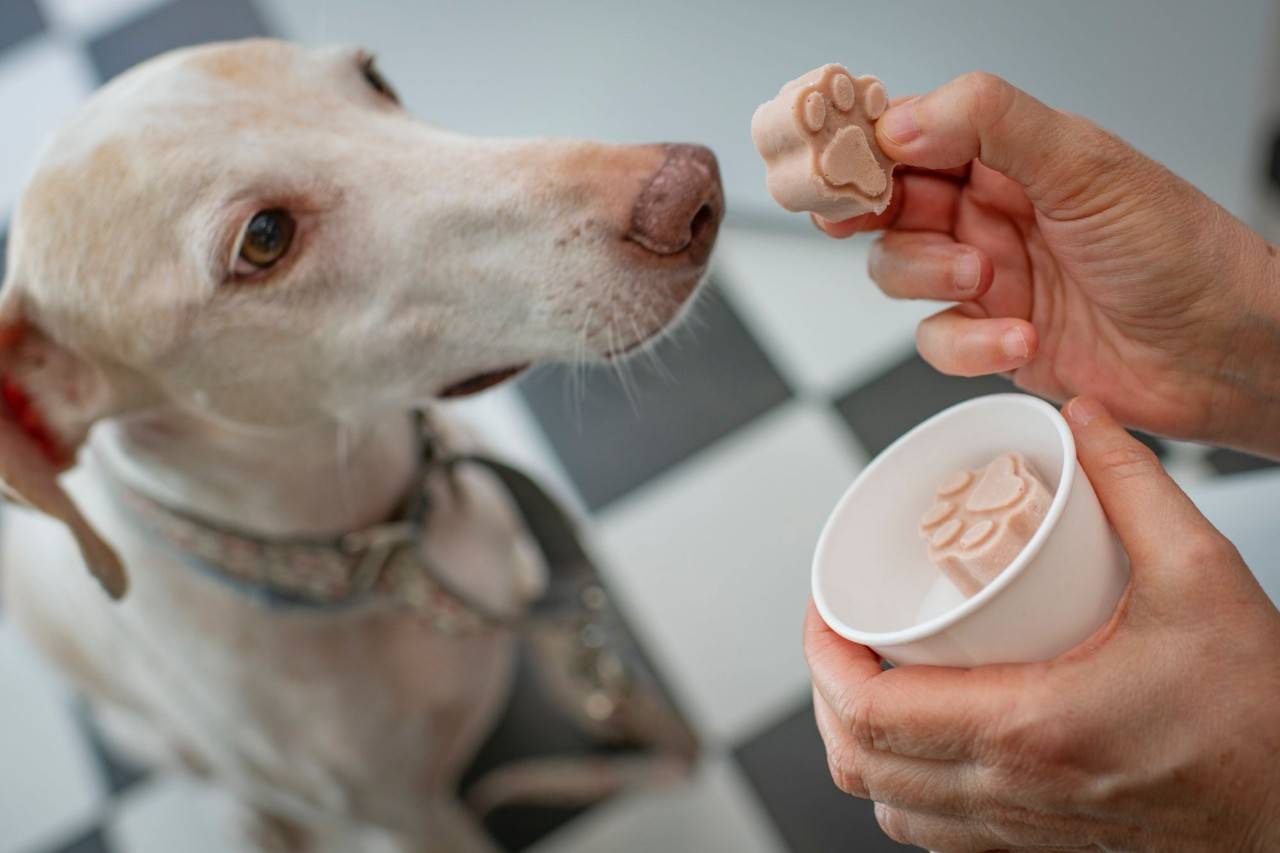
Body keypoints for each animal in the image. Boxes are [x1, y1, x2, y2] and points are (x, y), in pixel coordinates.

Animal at [0, 38, 721, 850]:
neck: (385, 553)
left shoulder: (537, 595)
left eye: (374, 77)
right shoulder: (413, 819)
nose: (691, 189)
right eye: (264, 238)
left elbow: (583, 667)